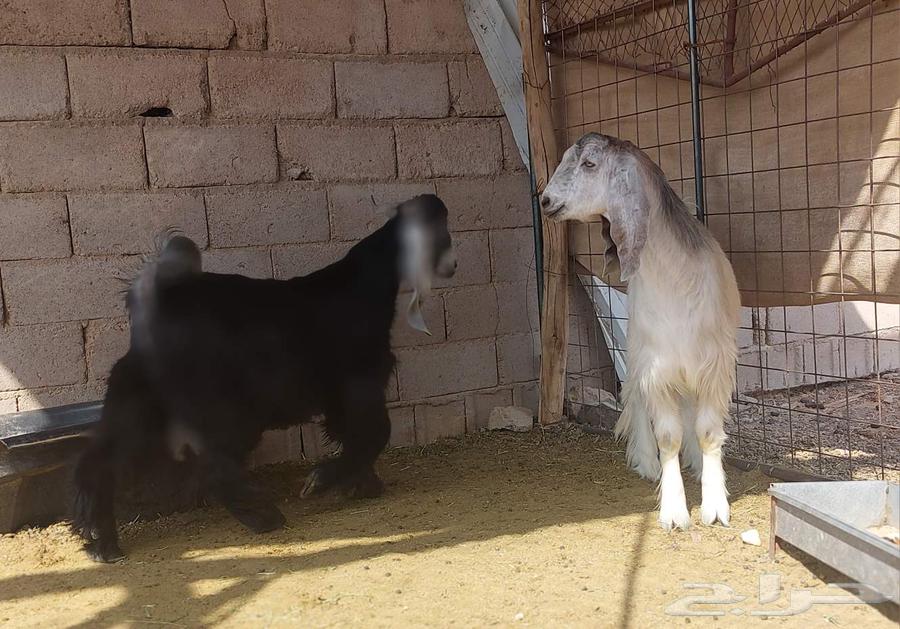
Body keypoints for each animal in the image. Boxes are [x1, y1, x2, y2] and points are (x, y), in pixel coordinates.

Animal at [72, 194, 457, 562]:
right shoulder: (361, 379)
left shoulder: (339, 395)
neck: (368, 279)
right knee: (212, 465)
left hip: (136, 403)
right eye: (442, 230)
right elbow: (376, 432)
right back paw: (262, 515)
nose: (453, 265)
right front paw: (326, 481)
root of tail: (156, 301)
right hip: (228, 411)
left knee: (99, 460)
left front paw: (361, 483)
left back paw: (99, 538)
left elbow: (354, 434)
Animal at [540, 133, 740, 530]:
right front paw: (674, 510)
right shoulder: (655, 365)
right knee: (634, 394)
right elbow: (668, 435)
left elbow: (708, 432)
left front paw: (714, 505)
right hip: (637, 351)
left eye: (589, 163)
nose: (546, 200)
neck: (674, 280)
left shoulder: (713, 366)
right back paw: (647, 462)